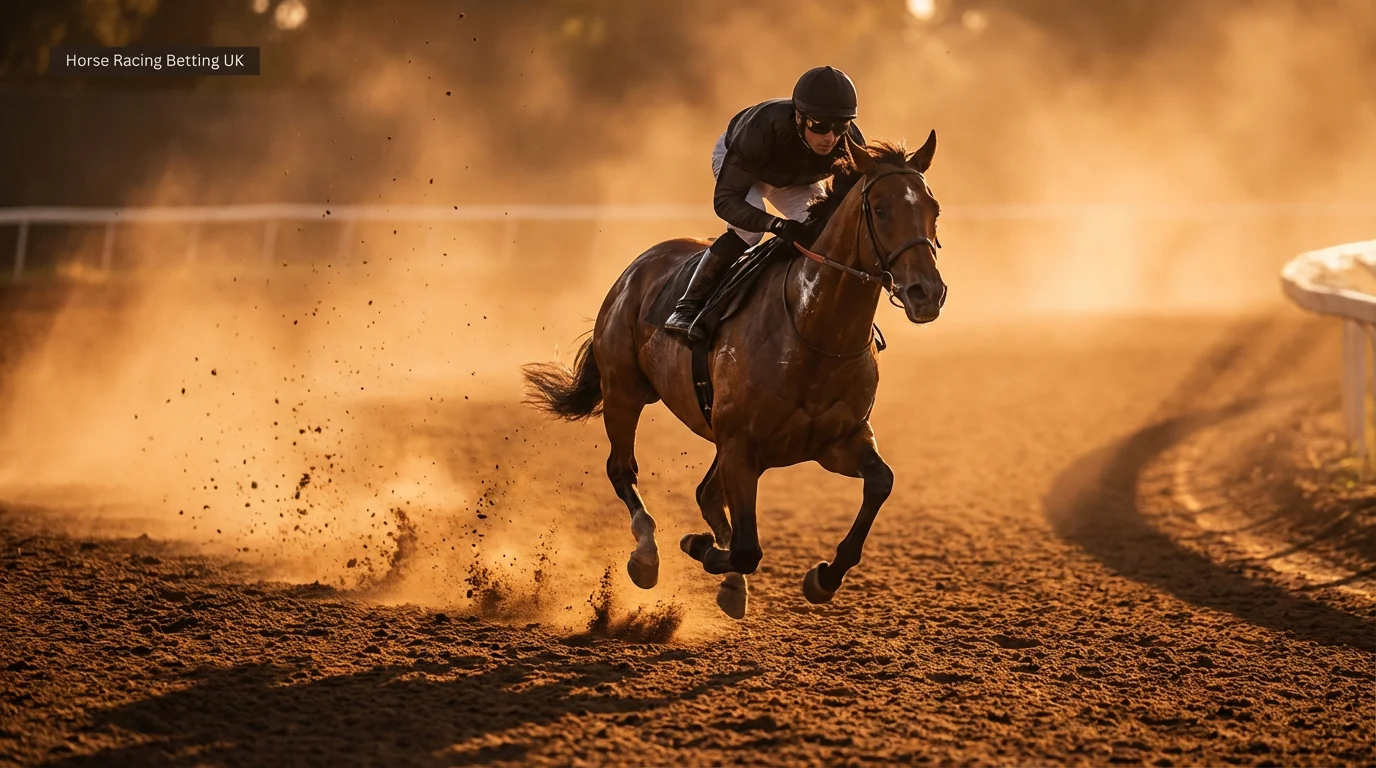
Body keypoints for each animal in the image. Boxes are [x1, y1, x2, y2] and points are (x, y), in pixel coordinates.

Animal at [522, 133, 944, 618]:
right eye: (880, 209)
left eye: (933, 207)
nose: (927, 293)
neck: (813, 330)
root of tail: (637, 266)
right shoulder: (741, 445)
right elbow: (745, 548)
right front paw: (698, 546)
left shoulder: (837, 440)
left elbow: (881, 482)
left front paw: (823, 577)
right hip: (623, 390)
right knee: (622, 469)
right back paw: (647, 556)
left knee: (704, 493)